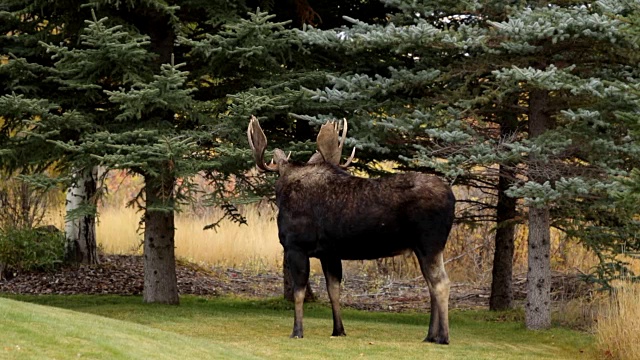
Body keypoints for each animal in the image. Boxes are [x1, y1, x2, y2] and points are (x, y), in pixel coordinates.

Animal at [246, 114, 456, 344]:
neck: (283, 194)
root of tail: (452, 197)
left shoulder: (296, 247)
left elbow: (299, 292)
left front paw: (297, 331)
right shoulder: (329, 253)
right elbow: (334, 290)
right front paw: (338, 330)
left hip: (430, 243)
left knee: (441, 283)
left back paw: (443, 337)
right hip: (421, 248)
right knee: (431, 285)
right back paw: (430, 335)